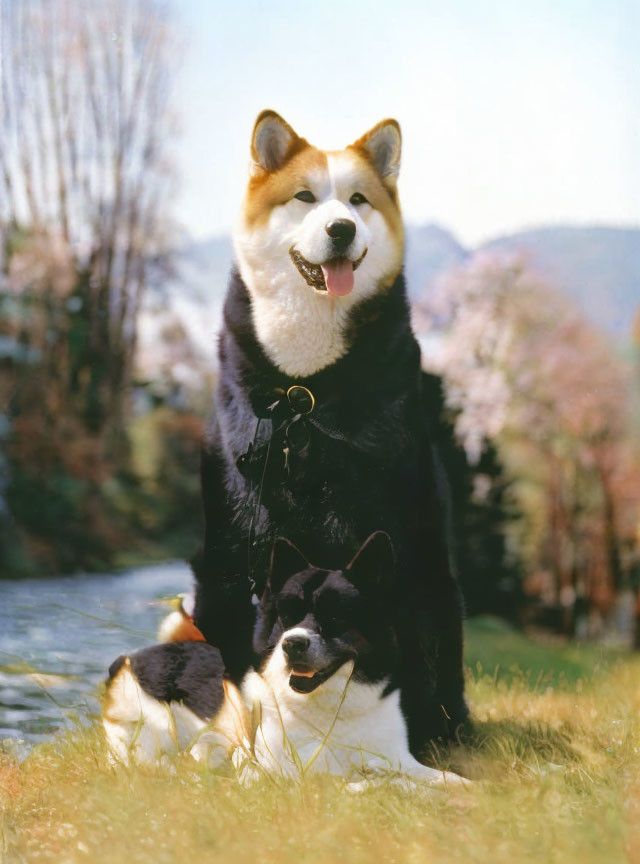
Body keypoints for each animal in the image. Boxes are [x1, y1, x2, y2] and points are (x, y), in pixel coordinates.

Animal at [102, 528, 468, 788]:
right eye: (287, 616)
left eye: (335, 617)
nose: (292, 644)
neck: (332, 710)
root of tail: (132, 658)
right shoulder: (297, 770)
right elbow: (381, 783)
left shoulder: (398, 756)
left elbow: (444, 778)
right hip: (155, 728)